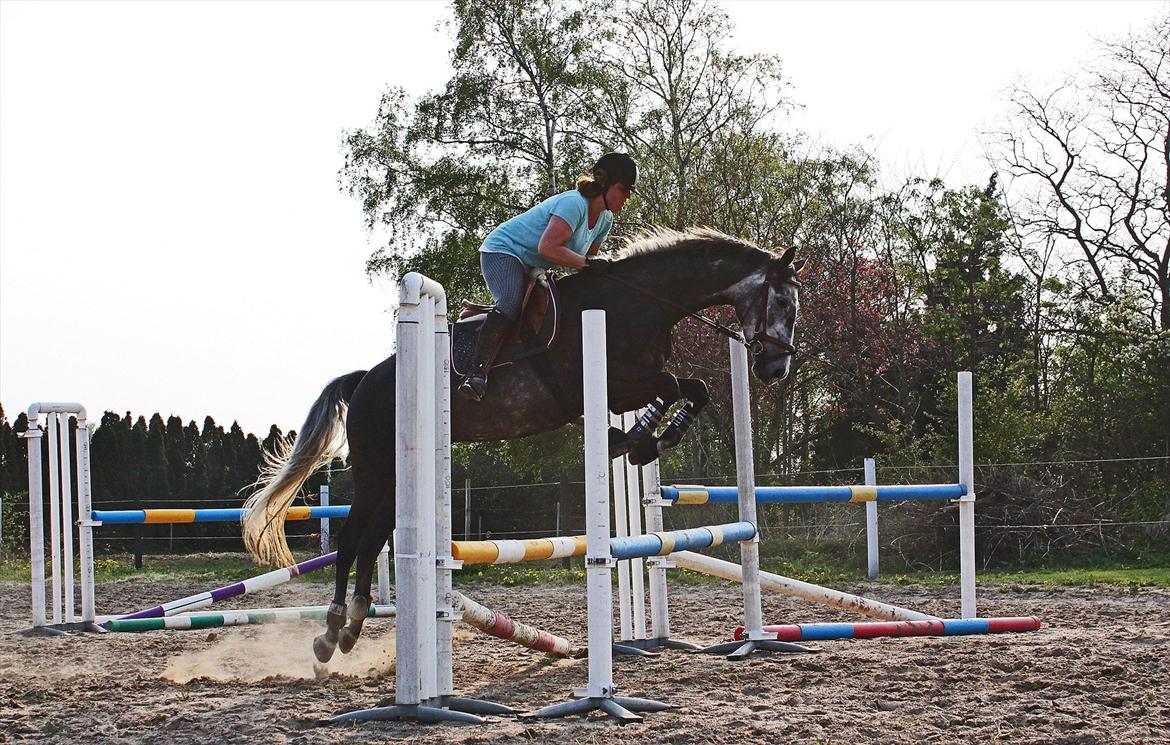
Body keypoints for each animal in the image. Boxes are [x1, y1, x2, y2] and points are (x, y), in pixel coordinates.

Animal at [237, 226, 804, 664]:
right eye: (782, 301)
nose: (776, 368)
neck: (636, 303)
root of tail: (365, 381)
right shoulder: (612, 382)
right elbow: (671, 387)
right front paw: (637, 440)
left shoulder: (632, 382)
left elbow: (695, 388)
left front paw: (643, 440)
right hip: (377, 468)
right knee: (354, 536)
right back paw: (331, 632)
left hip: (397, 475)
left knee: (375, 537)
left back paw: (353, 625)